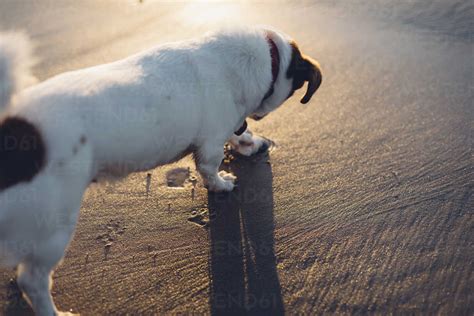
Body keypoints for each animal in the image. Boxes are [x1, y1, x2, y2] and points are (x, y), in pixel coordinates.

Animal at [0, 25, 322, 314]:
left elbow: (236, 134)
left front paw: (249, 141)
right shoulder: (211, 143)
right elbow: (210, 168)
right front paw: (222, 183)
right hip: (54, 224)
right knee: (33, 280)